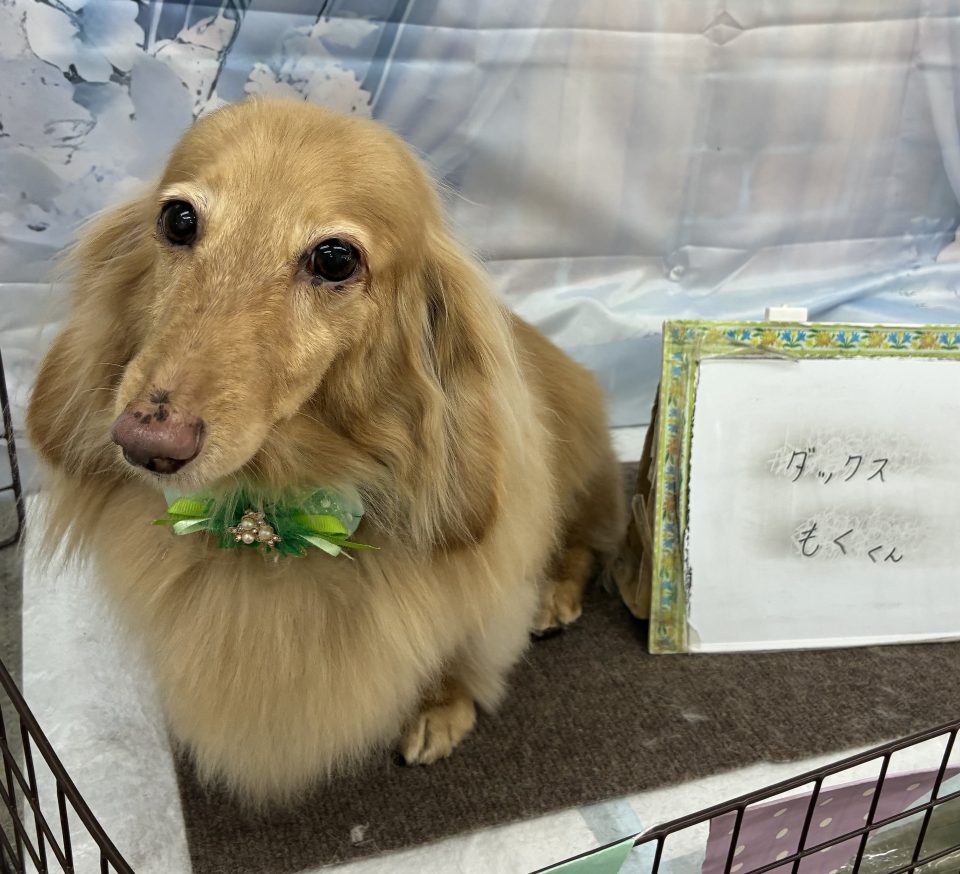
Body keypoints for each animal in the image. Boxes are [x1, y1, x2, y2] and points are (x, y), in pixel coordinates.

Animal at [26, 98, 625, 804]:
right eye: (178, 220)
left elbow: (458, 650)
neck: (270, 507)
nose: (146, 441)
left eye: (335, 259)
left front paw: (441, 707)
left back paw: (555, 595)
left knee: (587, 538)